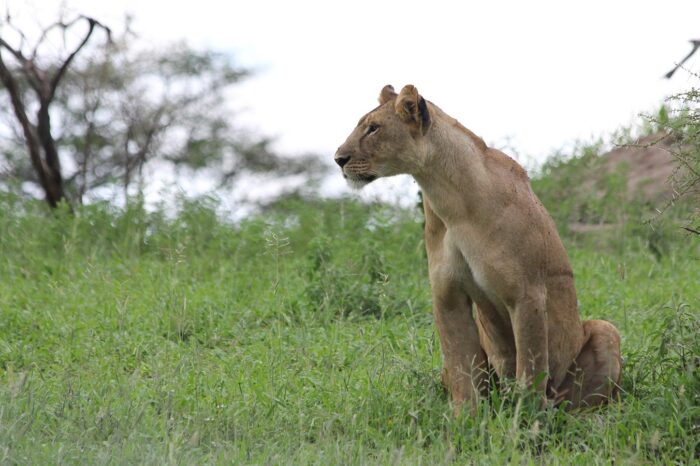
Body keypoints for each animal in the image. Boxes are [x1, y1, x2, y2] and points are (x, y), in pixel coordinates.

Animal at [335, 84, 622, 415]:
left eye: (373, 128)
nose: (338, 159)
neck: (449, 199)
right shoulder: (447, 295)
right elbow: (462, 367)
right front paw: (464, 420)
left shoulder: (527, 293)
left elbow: (530, 369)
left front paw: (525, 422)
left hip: (605, 331)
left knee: (579, 403)